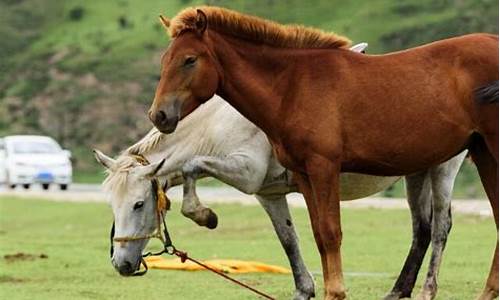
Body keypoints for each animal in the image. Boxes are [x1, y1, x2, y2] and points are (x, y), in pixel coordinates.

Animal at [149, 6, 500, 300]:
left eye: (190, 59)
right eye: (164, 60)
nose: (159, 115)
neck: (293, 86)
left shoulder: (323, 168)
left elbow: (331, 233)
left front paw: (336, 292)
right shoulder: (303, 175)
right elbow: (317, 234)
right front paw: (202, 213)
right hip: (477, 156)